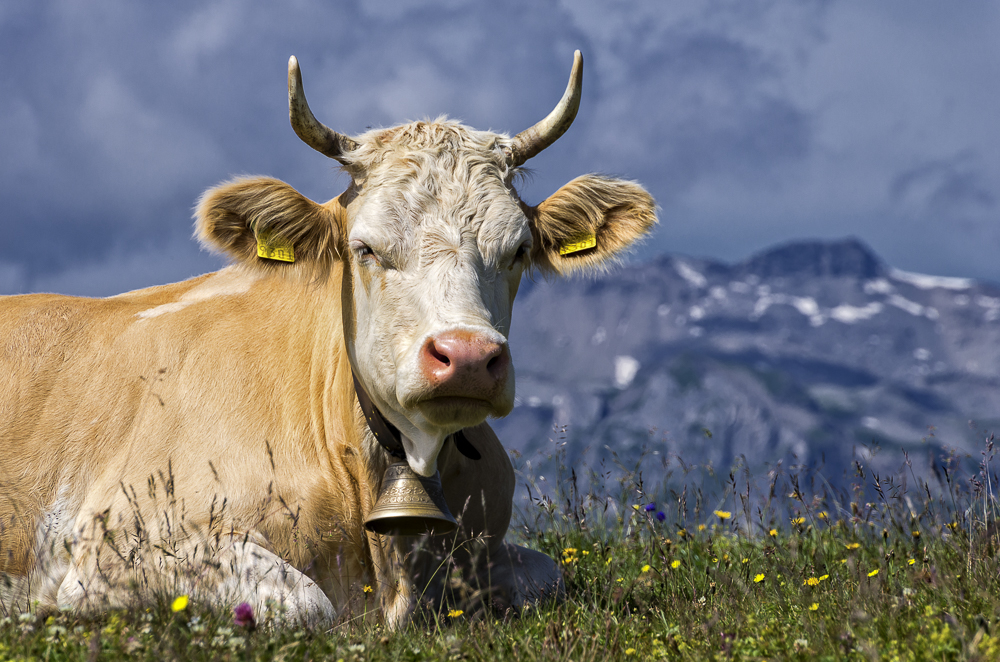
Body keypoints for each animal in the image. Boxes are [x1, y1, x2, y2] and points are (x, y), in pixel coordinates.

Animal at [0, 52, 656, 628]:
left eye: (518, 249)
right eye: (364, 248)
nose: (468, 357)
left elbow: (553, 576)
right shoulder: (118, 544)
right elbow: (305, 602)